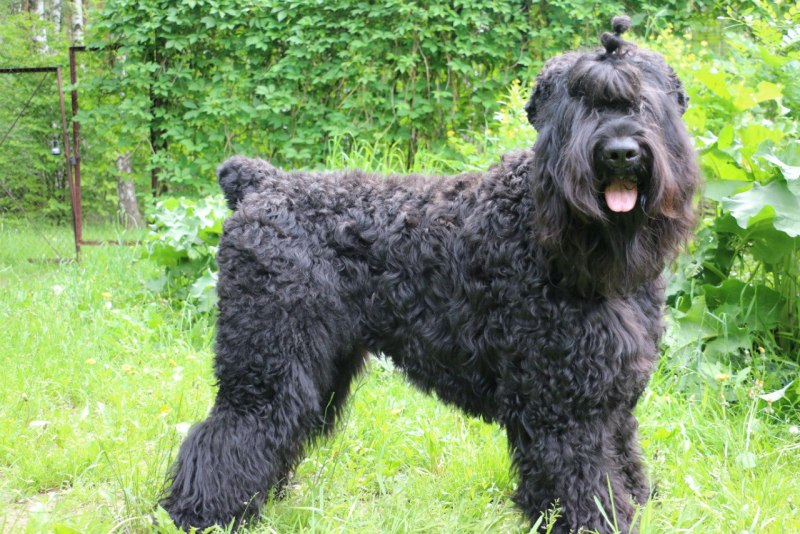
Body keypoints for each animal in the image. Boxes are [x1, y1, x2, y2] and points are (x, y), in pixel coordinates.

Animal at [161, 16, 699, 533]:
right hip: (268, 360)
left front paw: (636, 504)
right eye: (578, 104)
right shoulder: (563, 404)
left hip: (317, 364)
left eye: (645, 102)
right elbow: (583, 479)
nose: (620, 151)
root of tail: (260, 184)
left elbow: (622, 459)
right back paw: (199, 513)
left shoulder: (610, 395)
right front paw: (597, 522)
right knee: (234, 429)